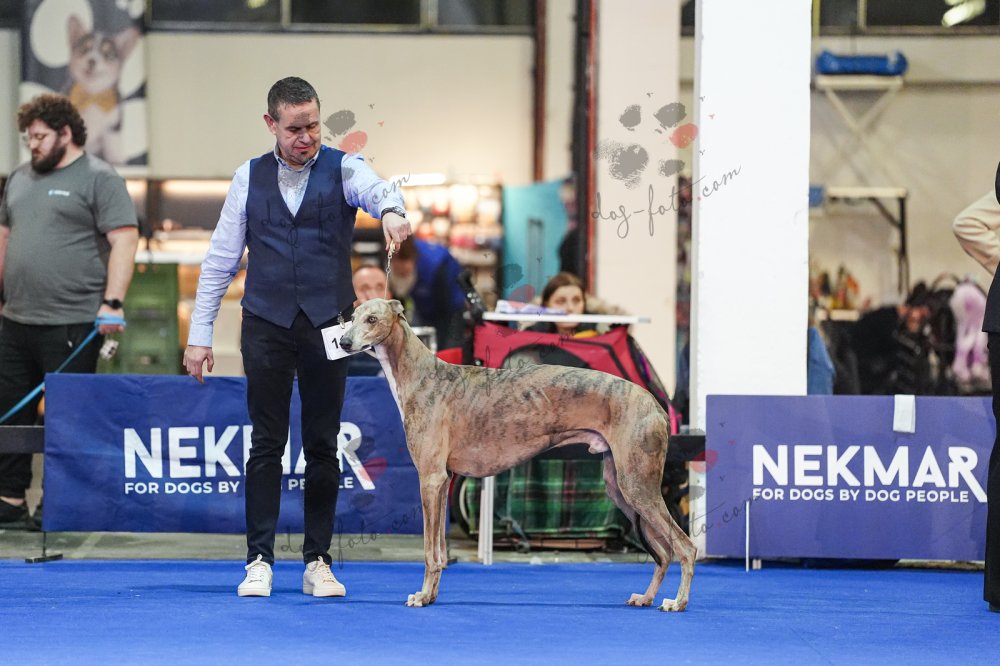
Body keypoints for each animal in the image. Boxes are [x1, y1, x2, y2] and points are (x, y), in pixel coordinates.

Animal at [66, 15, 140, 164]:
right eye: (85, 49)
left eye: (107, 54)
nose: (92, 61)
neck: (93, 94)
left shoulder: (114, 122)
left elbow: (113, 141)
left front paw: (116, 158)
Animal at [340, 298, 696, 611]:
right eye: (352, 316)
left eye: (372, 319)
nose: (342, 342)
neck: (423, 376)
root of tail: (654, 403)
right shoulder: (442, 482)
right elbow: (439, 550)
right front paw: (430, 596)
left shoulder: (430, 478)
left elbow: (429, 551)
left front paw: (422, 596)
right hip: (621, 488)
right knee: (664, 552)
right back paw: (645, 598)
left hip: (637, 485)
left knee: (685, 547)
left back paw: (676, 602)